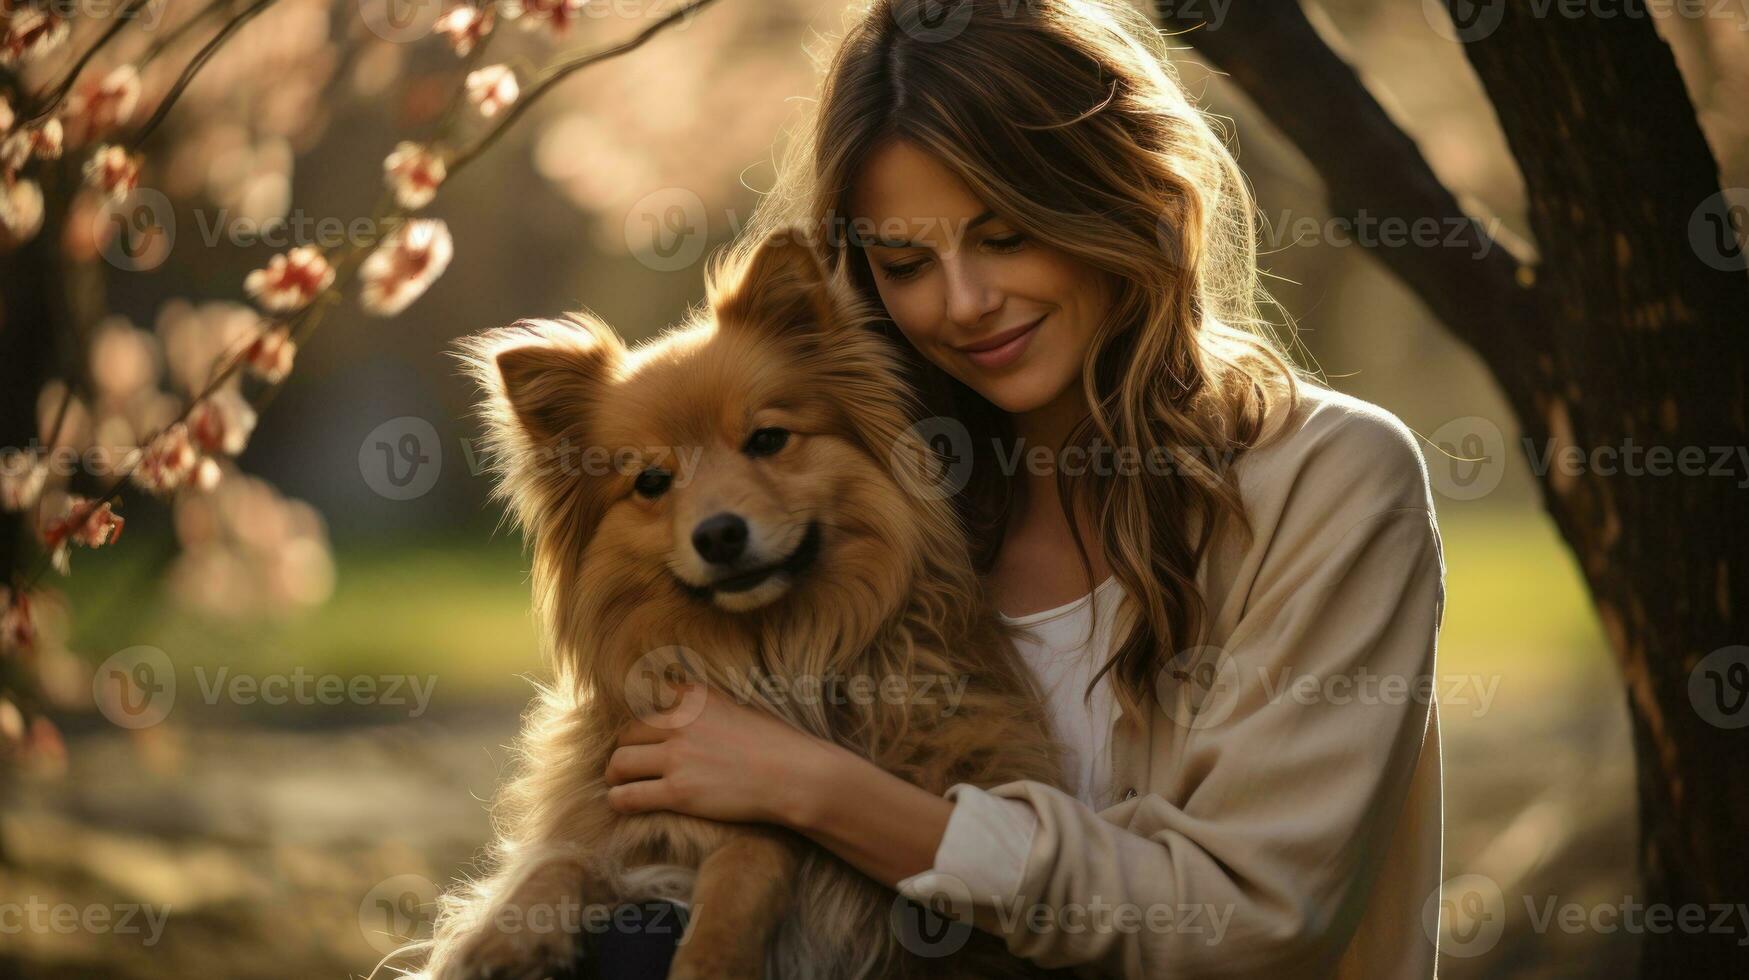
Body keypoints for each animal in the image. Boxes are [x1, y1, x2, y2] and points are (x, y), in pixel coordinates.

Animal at [430, 231, 1070, 980]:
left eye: (767, 440)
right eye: (652, 482)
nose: (718, 534)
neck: (768, 652)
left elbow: (753, 854)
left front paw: (711, 953)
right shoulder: (615, 809)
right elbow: (561, 862)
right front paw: (500, 941)